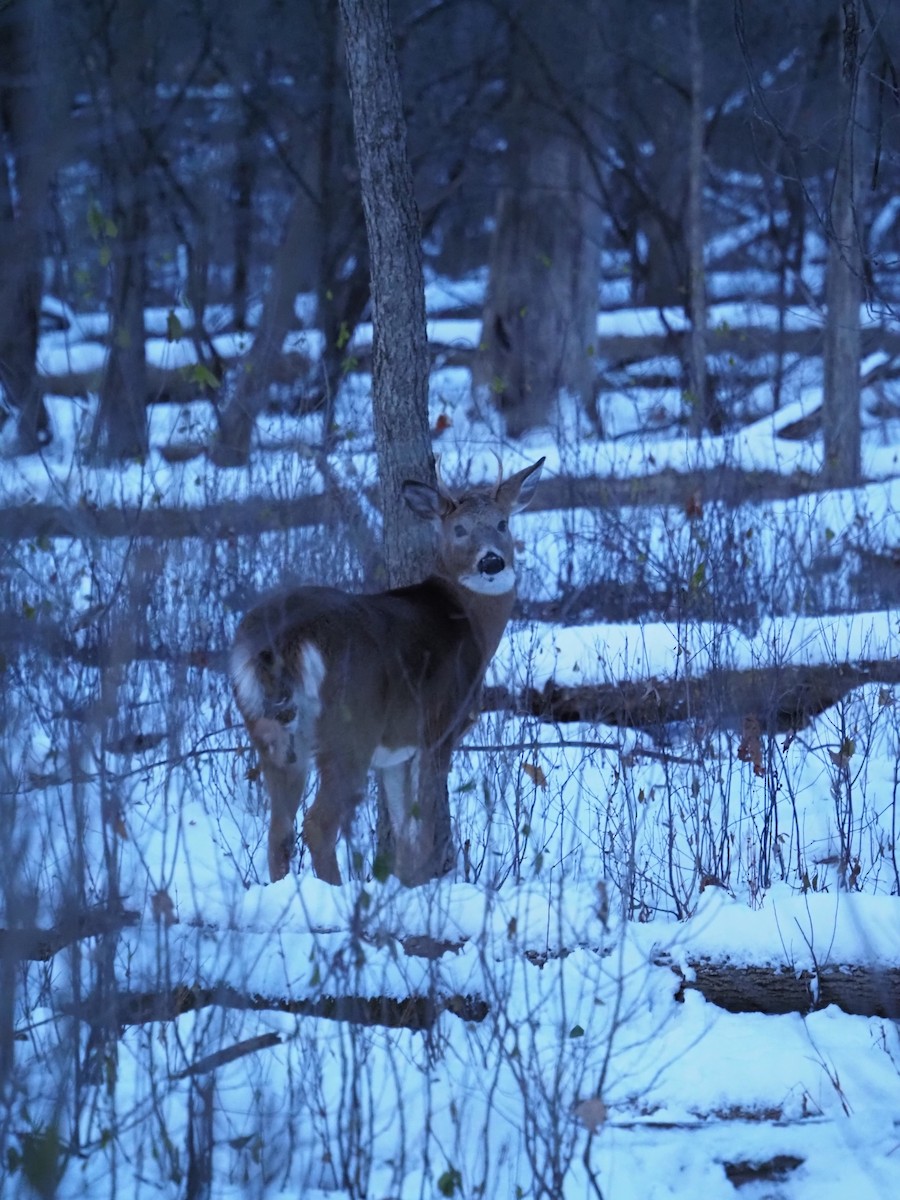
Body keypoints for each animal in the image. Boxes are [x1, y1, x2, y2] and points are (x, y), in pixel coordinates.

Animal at [230, 455, 544, 886]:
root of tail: (284, 639)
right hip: (349, 728)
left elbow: (403, 827)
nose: (492, 561)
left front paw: (405, 881)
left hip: (269, 733)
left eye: (503, 523)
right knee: (317, 823)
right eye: (459, 529)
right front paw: (423, 883)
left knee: (278, 830)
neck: (468, 621)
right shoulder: (438, 727)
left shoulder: (396, 753)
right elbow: (424, 824)